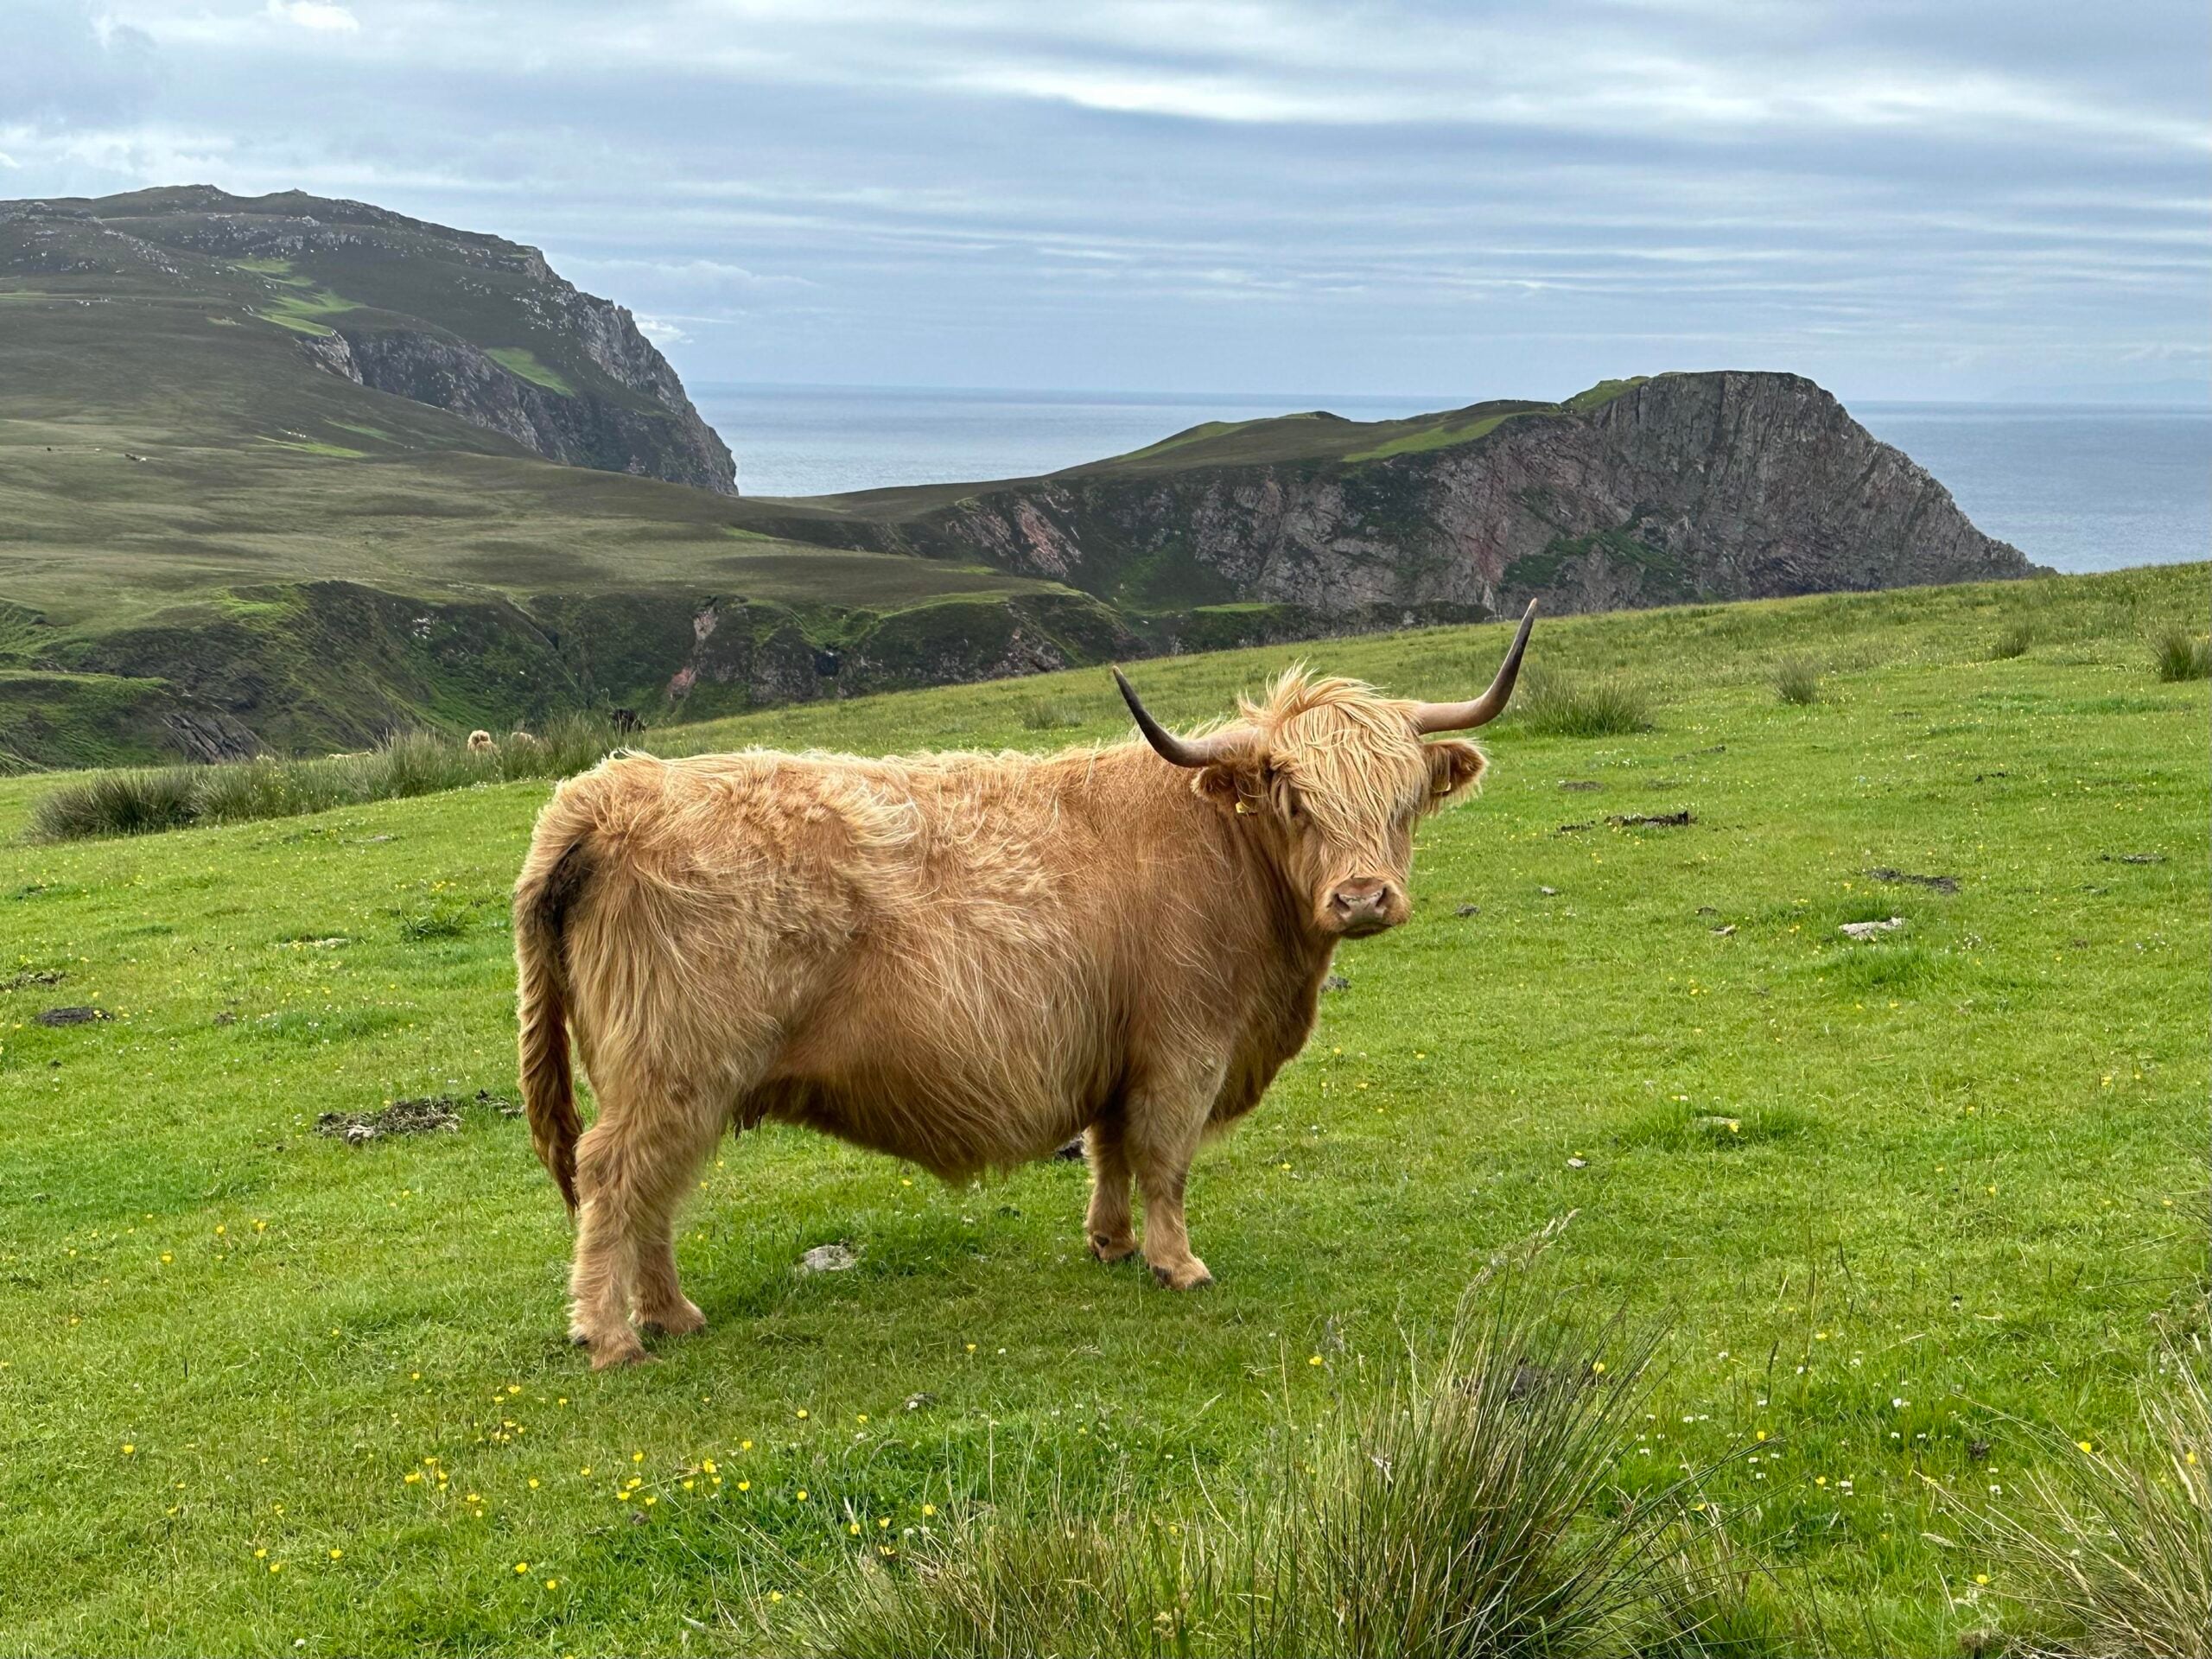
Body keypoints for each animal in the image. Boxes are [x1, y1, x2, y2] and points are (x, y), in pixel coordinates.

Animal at [514, 604, 1535, 1367]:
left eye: (1402, 799)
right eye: (1292, 798)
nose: (1362, 898)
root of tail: (607, 793)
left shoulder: (1120, 1054)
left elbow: (1111, 1151)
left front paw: (1112, 1245)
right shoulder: (1185, 1046)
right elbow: (1165, 1159)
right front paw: (1178, 1264)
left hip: (671, 1078)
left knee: (655, 1190)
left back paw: (670, 1315)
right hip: (675, 1067)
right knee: (617, 1177)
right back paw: (611, 1335)